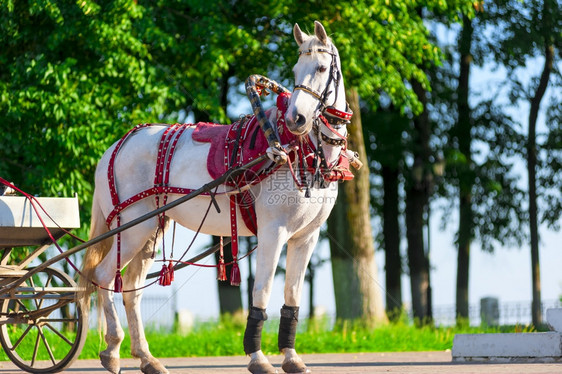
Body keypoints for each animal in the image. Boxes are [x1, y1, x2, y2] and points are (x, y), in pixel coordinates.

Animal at [80, 21, 350, 374]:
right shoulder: (273, 231)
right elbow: (262, 290)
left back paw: (147, 357)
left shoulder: (307, 236)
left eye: (320, 67)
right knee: (102, 277)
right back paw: (113, 350)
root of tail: (116, 146)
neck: (298, 151)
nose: (296, 119)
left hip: (151, 229)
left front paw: (291, 357)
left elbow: (292, 294)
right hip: (132, 227)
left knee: (131, 290)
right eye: (294, 70)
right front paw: (257, 357)